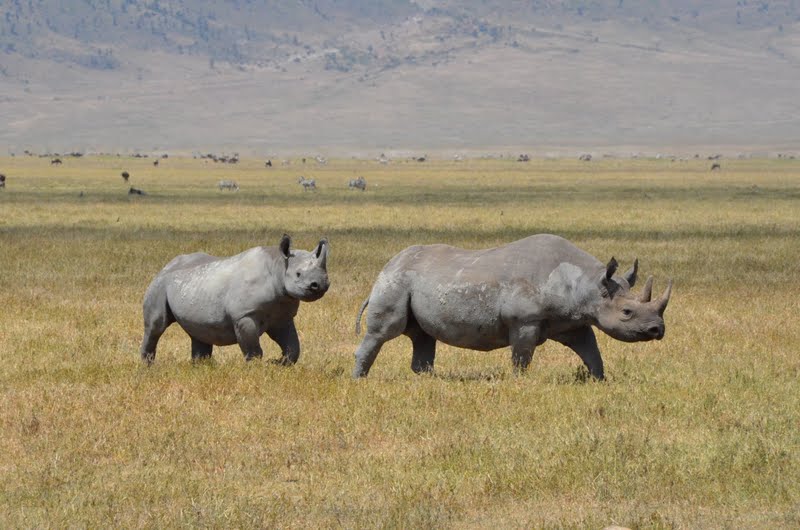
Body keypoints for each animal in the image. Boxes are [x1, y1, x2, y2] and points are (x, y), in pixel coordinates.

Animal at [140, 235, 329, 364]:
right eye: (298, 274)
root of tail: (165, 266)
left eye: (325, 272)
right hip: (160, 285)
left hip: (191, 285)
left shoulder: (282, 314)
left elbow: (293, 347)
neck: (278, 266)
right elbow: (253, 350)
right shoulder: (244, 315)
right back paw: (147, 366)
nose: (319, 285)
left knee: (197, 331)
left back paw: (201, 367)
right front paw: (257, 368)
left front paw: (277, 363)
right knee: (156, 327)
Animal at [353, 234, 671, 379]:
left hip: (415, 282)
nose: (658, 330)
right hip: (395, 282)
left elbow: (591, 351)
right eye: (627, 313)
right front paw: (519, 382)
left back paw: (427, 379)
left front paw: (599, 380)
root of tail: (386, 266)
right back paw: (360, 379)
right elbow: (522, 356)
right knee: (384, 332)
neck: (589, 286)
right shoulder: (524, 321)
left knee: (422, 336)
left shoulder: (573, 321)